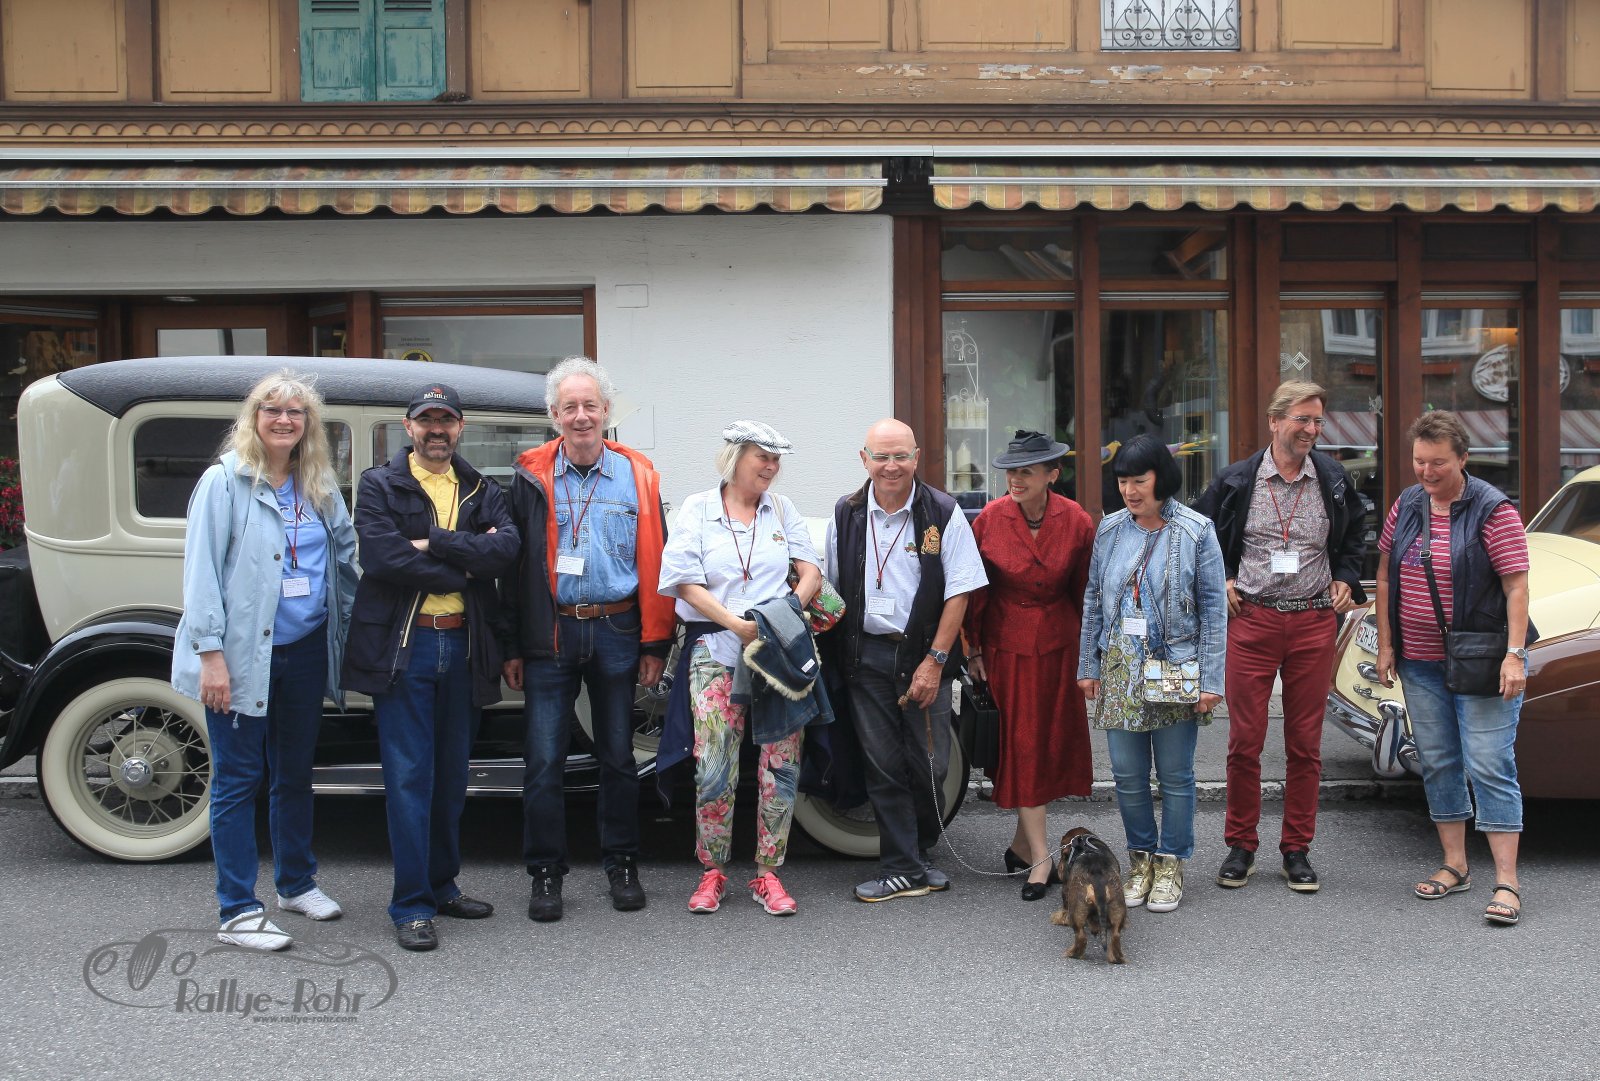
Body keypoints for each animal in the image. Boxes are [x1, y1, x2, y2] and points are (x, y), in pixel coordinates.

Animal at [1048, 827, 1128, 964]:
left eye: (1063, 855)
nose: (1058, 870)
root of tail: (1097, 875)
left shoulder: (1066, 888)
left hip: (1077, 909)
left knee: (1081, 936)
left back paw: (1073, 953)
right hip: (1117, 905)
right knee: (1115, 935)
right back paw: (1116, 958)